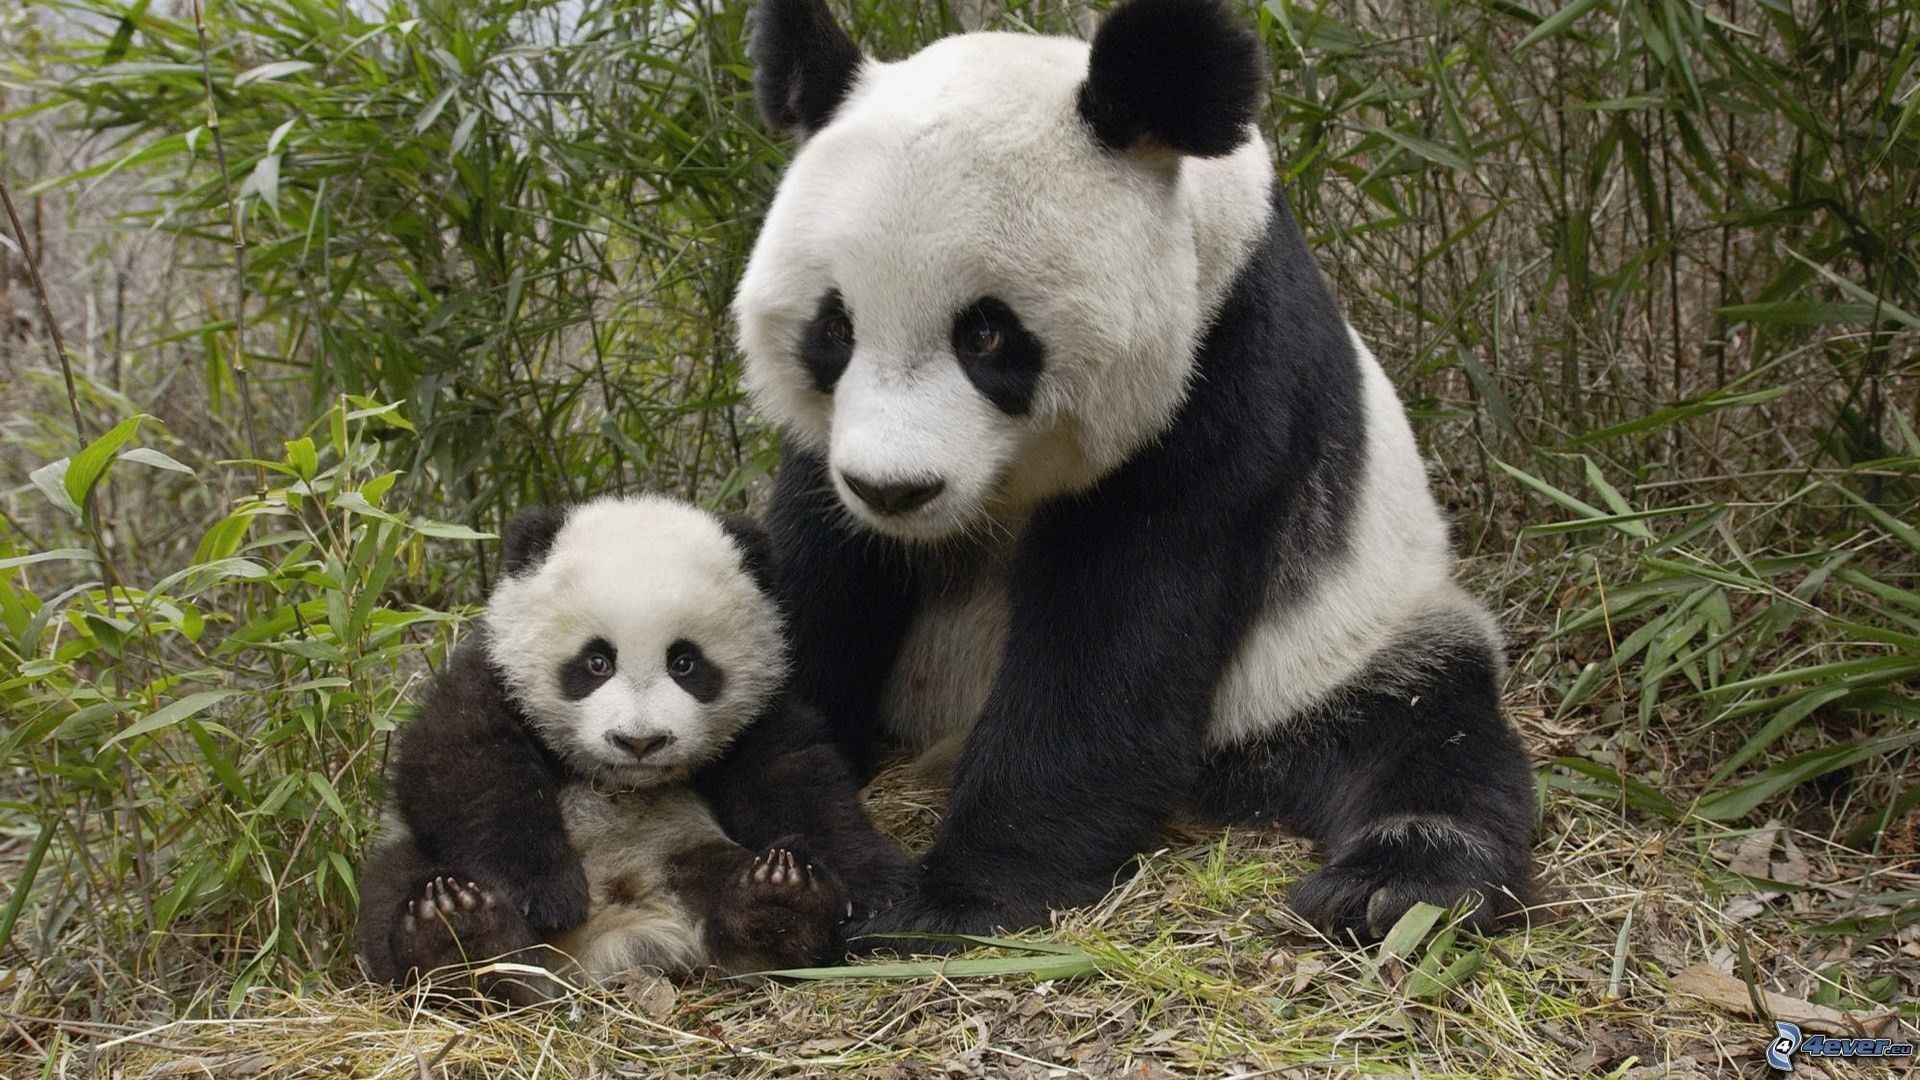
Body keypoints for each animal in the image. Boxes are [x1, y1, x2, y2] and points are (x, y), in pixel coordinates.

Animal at [356, 495, 911, 1003]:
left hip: (685, 851)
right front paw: (546, 892)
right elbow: (462, 766)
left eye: (685, 663)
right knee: (396, 884)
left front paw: (877, 888)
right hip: (413, 863)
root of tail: (614, 939)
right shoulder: (491, 676)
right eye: (596, 661)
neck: (622, 782)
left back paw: (781, 900)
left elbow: (798, 778)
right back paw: (456, 936)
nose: (640, 741)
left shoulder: (760, 711)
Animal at [732, 0, 1537, 943]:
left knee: (1426, 727)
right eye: (834, 329)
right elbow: (818, 582)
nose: (895, 490)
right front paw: (799, 852)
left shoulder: (1225, 373)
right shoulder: (828, 458)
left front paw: (954, 897)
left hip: (1341, 642)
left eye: (986, 334)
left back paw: (1395, 885)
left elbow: (1117, 634)